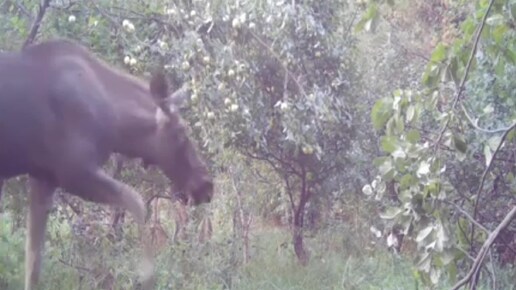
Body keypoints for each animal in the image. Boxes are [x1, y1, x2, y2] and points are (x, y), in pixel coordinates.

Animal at [0, 39, 214, 290]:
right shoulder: (74, 172)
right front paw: (147, 275)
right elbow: (137, 203)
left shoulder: (44, 178)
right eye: (181, 131)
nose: (207, 185)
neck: (117, 124)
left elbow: (33, 264)